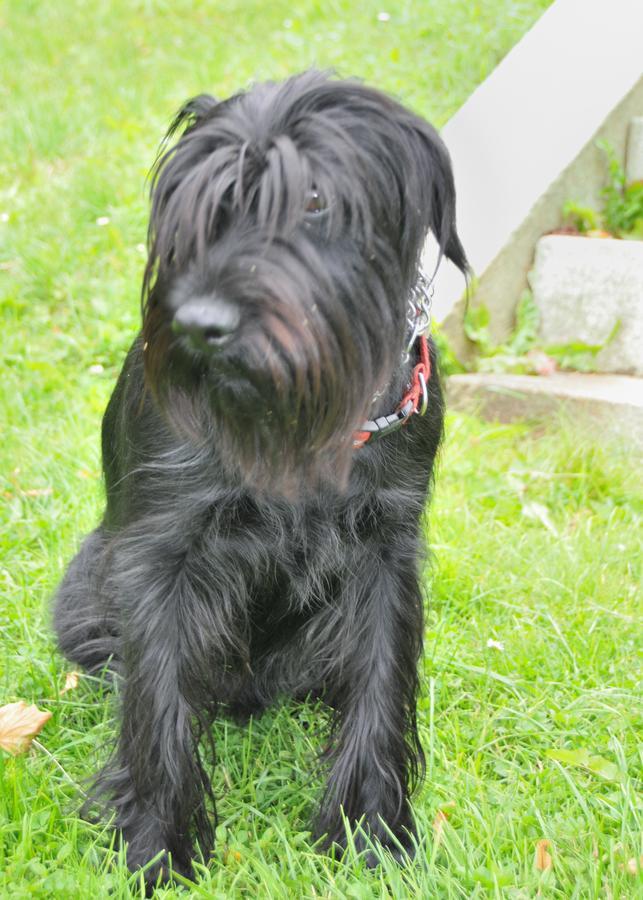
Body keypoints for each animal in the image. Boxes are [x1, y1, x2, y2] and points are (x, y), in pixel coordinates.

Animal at [54, 72, 468, 884]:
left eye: (314, 199)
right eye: (199, 206)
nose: (197, 324)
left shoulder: (387, 550)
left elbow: (381, 681)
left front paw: (370, 830)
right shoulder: (161, 557)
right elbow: (157, 704)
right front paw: (156, 845)